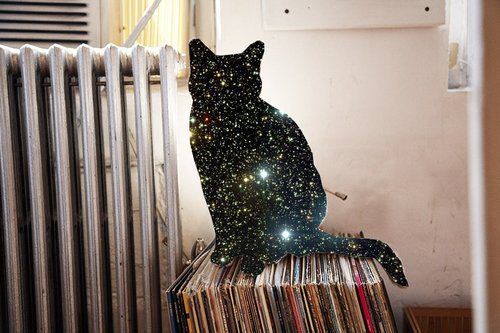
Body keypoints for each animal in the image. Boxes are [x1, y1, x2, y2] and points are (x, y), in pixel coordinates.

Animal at [188, 39, 406, 286]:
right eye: (215, 78)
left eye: (244, 80)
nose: (231, 93)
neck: (226, 130)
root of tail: (315, 235)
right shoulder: (211, 182)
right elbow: (222, 224)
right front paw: (223, 255)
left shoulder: (261, 182)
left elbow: (257, 230)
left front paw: (253, 261)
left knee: (283, 241)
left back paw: (269, 253)